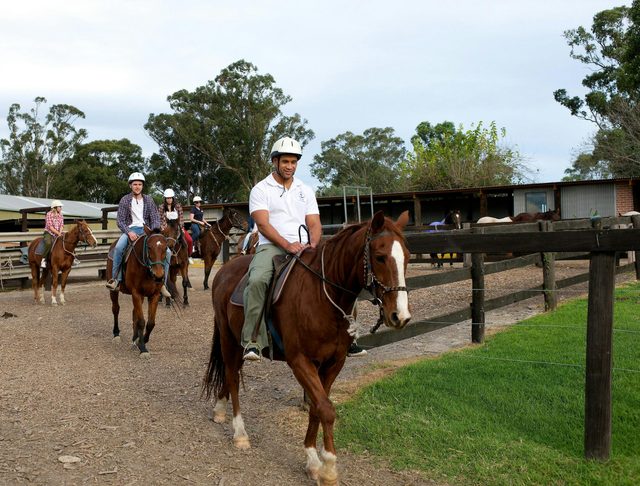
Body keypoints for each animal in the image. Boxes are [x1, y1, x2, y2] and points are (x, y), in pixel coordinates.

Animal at [106, 228, 174, 357]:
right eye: (149, 247)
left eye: (165, 247)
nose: (158, 276)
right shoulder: (136, 293)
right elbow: (142, 321)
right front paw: (143, 348)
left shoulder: (154, 295)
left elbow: (150, 322)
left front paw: (141, 341)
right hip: (114, 291)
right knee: (116, 309)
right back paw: (116, 334)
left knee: (134, 314)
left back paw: (134, 338)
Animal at [202, 210, 411, 485]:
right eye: (379, 257)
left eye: (407, 257)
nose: (400, 316)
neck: (322, 296)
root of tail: (225, 270)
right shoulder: (300, 361)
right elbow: (326, 409)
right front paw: (328, 468)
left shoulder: (333, 363)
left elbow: (317, 407)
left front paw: (313, 461)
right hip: (228, 338)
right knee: (232, 376)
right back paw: (240, 433)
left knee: (230, 373)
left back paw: (219, 409)